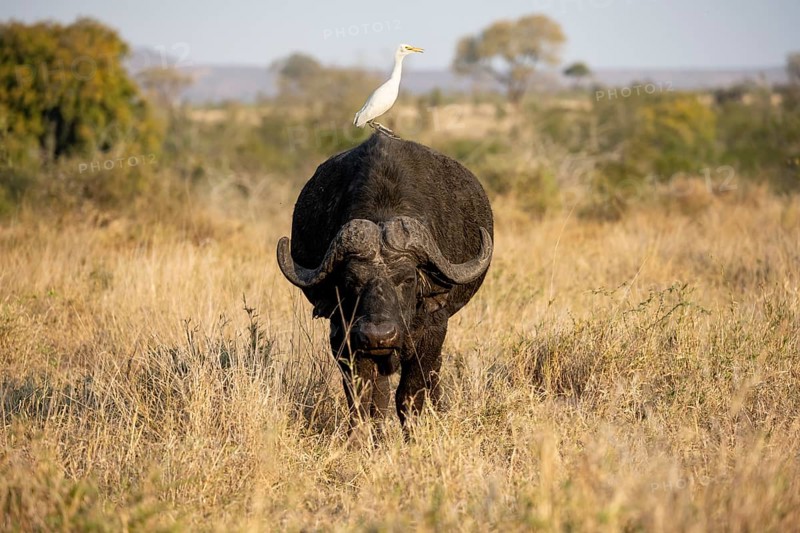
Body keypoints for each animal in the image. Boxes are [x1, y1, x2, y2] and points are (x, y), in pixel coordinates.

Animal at [277, 132, 493, 430]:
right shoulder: (343, 336)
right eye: (351, 280)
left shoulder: (433, 331)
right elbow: (368, 396)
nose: (379, 336)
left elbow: (410, 393)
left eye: (408, 278)